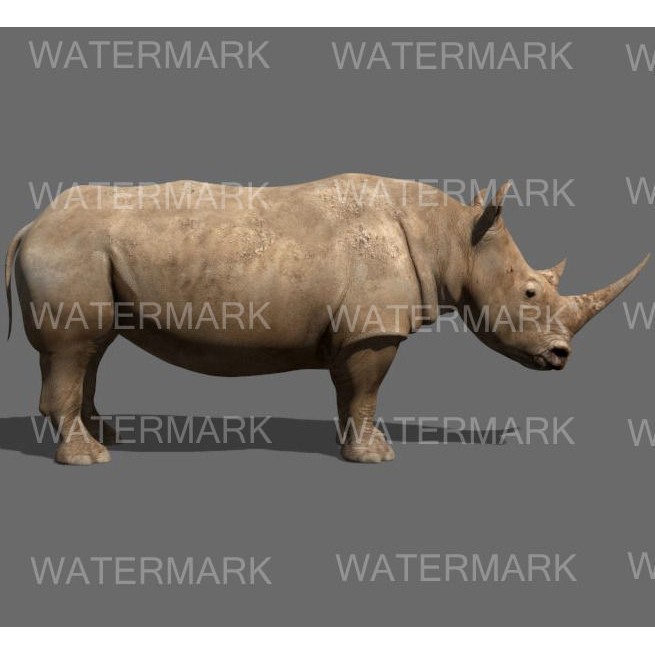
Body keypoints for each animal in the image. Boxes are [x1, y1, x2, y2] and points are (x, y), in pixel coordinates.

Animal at [4, 174, 649, 465]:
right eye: (531, 292)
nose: (562, 357)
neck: (452, 236)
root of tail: (30, 225)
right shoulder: (373, 328)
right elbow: (366, 390)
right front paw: (377, 457)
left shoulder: (357, 328)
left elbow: (350, 393)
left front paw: (353, 446)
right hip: (68, 250)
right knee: (74, 348)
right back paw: (89, 458)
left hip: (83, 253)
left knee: (90, 349)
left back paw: (104, 436)